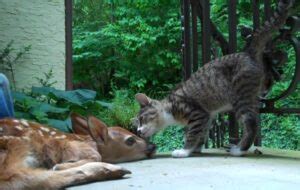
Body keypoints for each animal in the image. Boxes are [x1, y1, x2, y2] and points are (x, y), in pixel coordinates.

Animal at [133, 0, 292, 157]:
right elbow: (202, 134)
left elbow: (191, 134)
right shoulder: (208, 117)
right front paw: (196, 149)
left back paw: (239, 149)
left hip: (240, 96)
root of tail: (246, 53)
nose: (138, 132)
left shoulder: (197, 114)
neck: (170, 109)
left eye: (142, 119)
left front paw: (184, 151)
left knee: (251, 123)